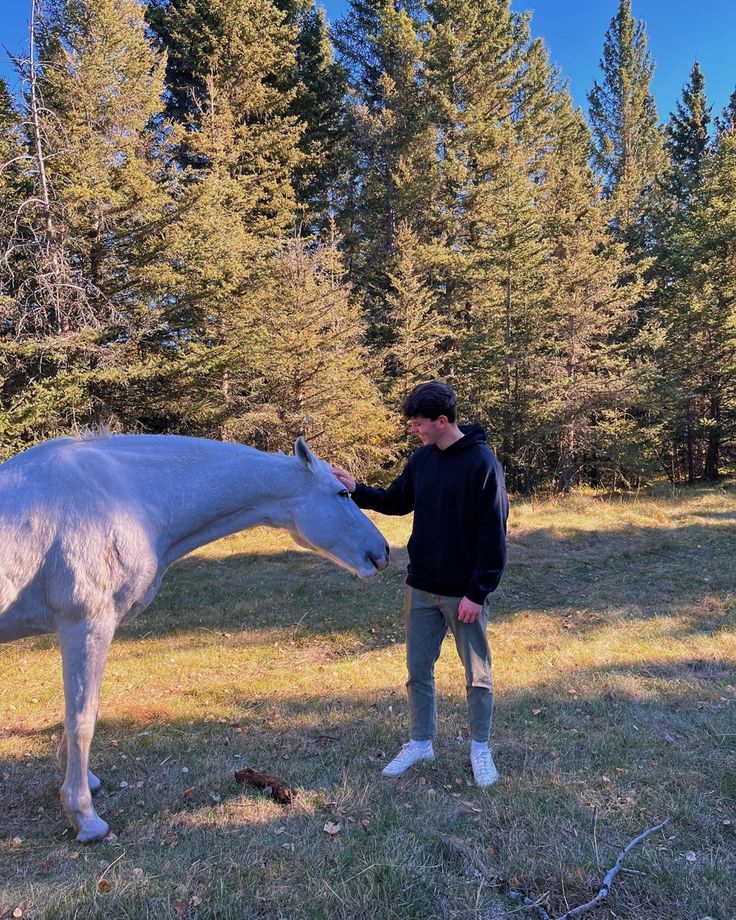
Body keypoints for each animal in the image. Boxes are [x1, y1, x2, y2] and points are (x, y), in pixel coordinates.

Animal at [0, 432, 392, 840]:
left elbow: (81, 713)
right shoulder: (86, 624)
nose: (383, 552)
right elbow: (82, 720)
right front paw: (85, 817)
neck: (124, 497)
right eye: (341, 493)